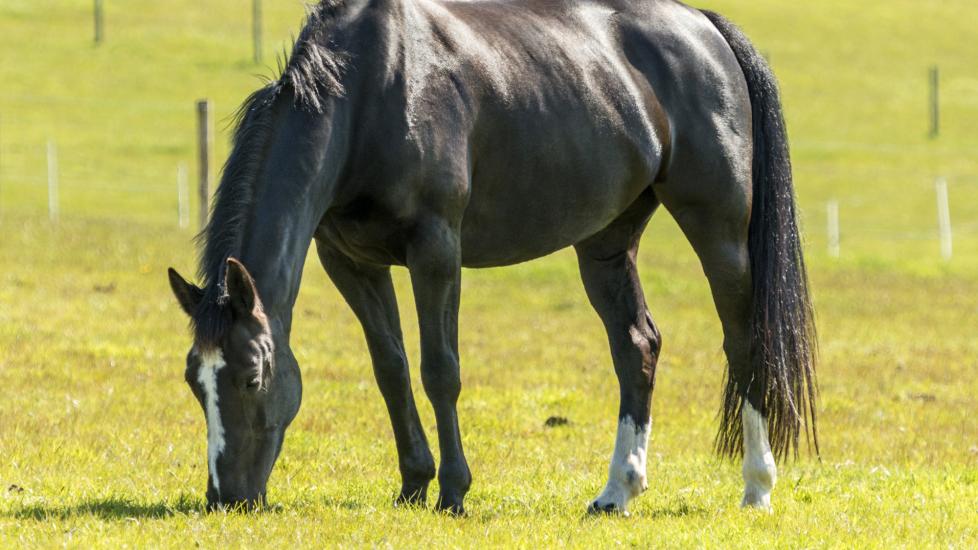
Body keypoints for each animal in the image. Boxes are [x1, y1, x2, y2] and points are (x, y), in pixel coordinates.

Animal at [168, 0, 816, 516]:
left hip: (719, 231)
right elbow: (391, 369)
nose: (225, 497)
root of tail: (703, 27)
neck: (370, 94)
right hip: (606, 243)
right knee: (637, 347)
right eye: (196, 382)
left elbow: (440, 370)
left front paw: (453, 491)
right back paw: (617, 492)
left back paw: (756, 487)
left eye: (253, 375)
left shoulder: (436, 250)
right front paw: (413, 485)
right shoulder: (350, 260)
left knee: (745, 343)